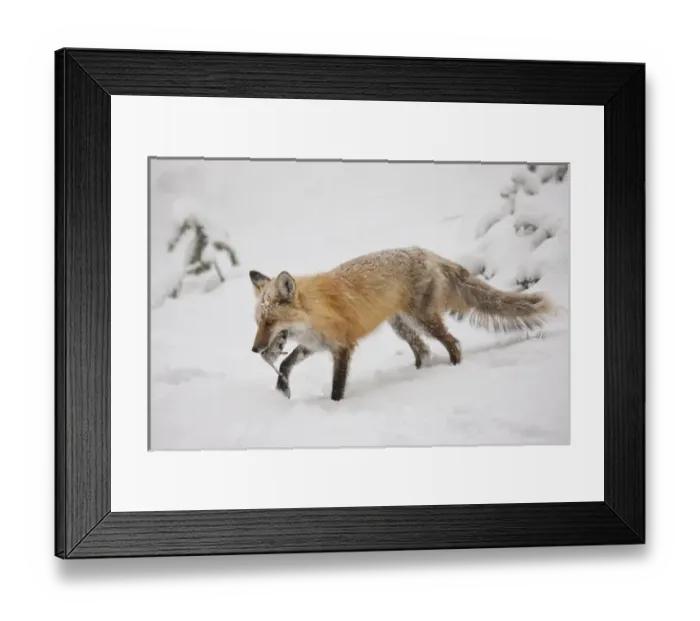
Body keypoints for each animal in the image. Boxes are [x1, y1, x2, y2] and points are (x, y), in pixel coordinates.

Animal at [249, 247, 553, 402]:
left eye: (271, 321)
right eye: (258, 322)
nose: (254, 350)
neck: (314, 312)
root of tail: (427, 252)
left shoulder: (342, 347)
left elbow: (337, 387)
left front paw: (334, 409)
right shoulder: (313, 345)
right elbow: (285, 365)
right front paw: (282, 393)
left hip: (424, 320)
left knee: (452, 343)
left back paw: (454, 369)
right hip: (403, 327)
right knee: (423, 351)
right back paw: (417, 374)